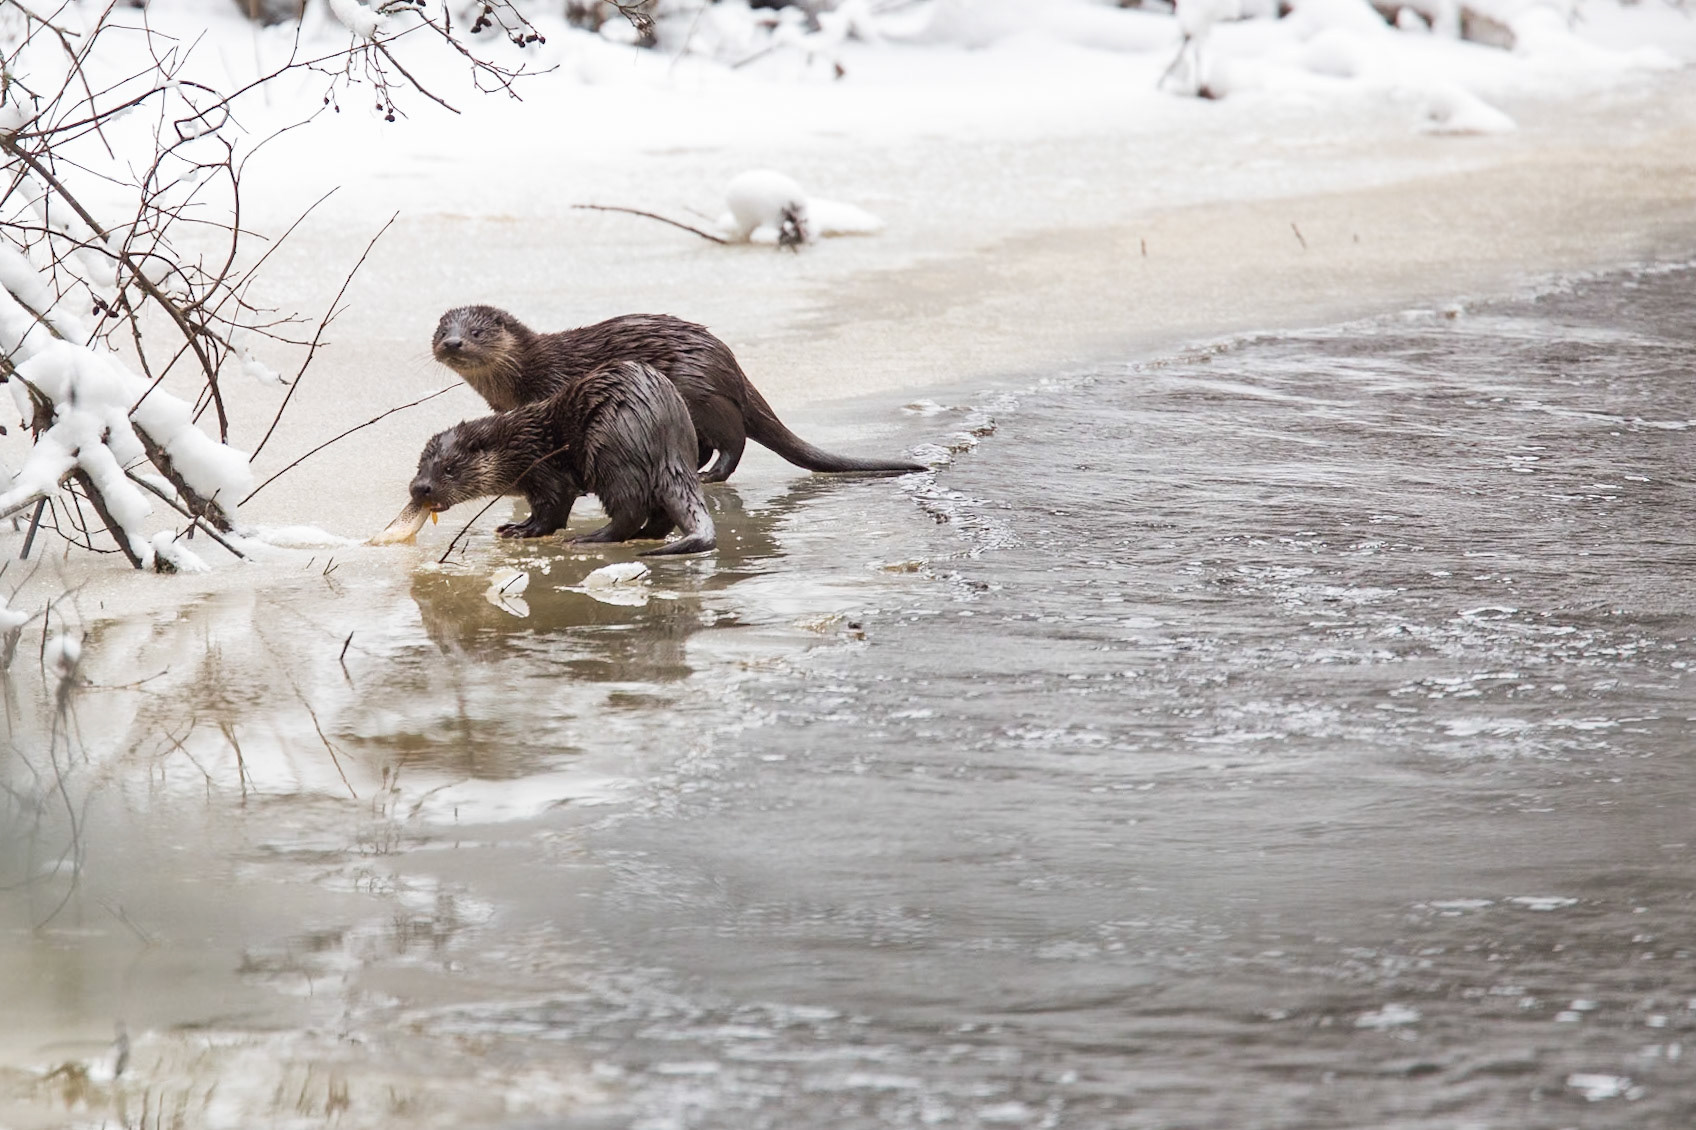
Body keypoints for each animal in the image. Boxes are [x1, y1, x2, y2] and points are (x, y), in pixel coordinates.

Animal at [401, 360, 714, 556]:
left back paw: (588, 538)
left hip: (612, 453)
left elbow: (552, 508)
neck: (517, 445)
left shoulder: (542, 471)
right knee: (660, 516)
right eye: (419, 466)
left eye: (449, 468)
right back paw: (641, 536)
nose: (420, 488)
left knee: (629, 509)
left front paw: (523, 531)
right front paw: (515, 526)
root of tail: (669, 438)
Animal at [431, 304, 926, 482]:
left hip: (700, 393)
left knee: (733, 440)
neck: (525, 373)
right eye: (441, 330)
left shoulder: (554, 385)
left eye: (475, 332)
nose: (452, 343)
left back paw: (711, 476)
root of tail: (730, 365)